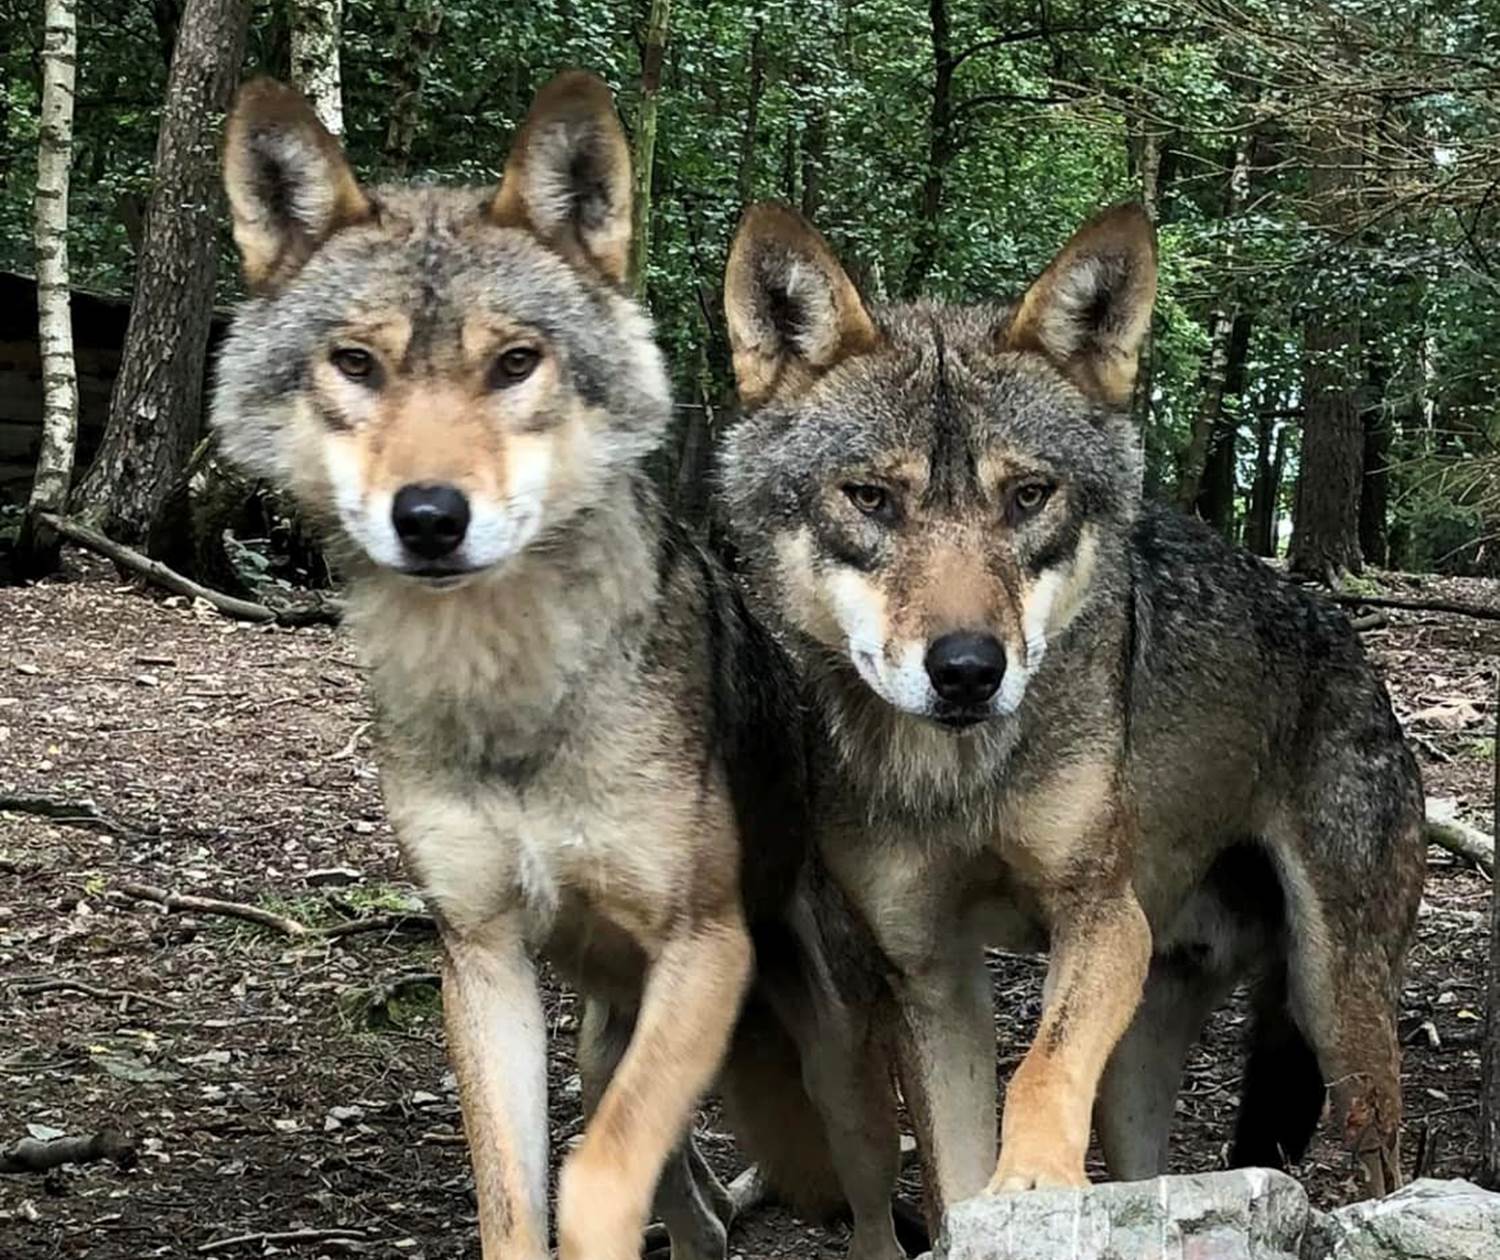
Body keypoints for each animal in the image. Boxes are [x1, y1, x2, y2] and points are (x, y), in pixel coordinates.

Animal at [211, 75, 908, 1260]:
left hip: (830, 1063)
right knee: (701, 1211)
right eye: (356, 364)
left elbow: (593, 1178)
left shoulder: (703, 946)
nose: (430, 518)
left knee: (868, 1206)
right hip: (600, 1043)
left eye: (513, 363)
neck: (513, 695)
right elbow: (513, 1196)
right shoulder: (482, 956)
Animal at [717, 199, 1427, 1219]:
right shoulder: (929, 977)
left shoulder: (1100, 917)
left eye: (1027, 496)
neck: (961, 781)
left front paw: (1034, 1178)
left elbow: (1042, 1070)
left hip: (1335, 1010)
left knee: (1384, 1156)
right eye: (871, 498)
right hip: (1140, 1062)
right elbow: (956, 1173)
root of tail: (1347, 637)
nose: (968, 670)